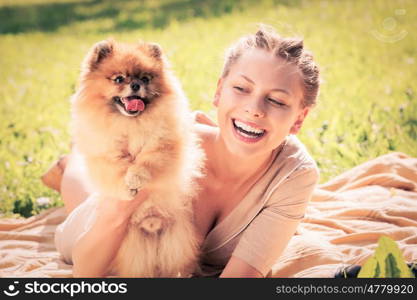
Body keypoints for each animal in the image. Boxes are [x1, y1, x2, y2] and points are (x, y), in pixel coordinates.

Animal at [71, 39, 205, 276]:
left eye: (145, 78)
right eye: (119, 79)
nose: (135, 85)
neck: (131, 123)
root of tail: (152, 224)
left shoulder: (164, 144)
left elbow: (146, 160)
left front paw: (135, 177)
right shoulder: (103, 153)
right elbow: (116, 168)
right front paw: (126, 187)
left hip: (176, 242)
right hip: (134, 250)